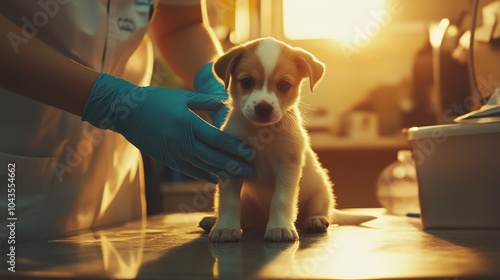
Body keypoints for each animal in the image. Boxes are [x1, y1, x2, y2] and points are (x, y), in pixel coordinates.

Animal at [200, 37, 376, 243]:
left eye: (283, 85)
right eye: (247, 82)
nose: (263, 108)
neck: (262, 133)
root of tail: (260, 222)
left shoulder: (288, 166)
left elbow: (281, 199)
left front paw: (279, 227)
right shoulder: (232, 165)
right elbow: (229, 201)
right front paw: (226, 227)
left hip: (322, 192)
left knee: (321, 212)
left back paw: (316, 220)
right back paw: (213, 220)